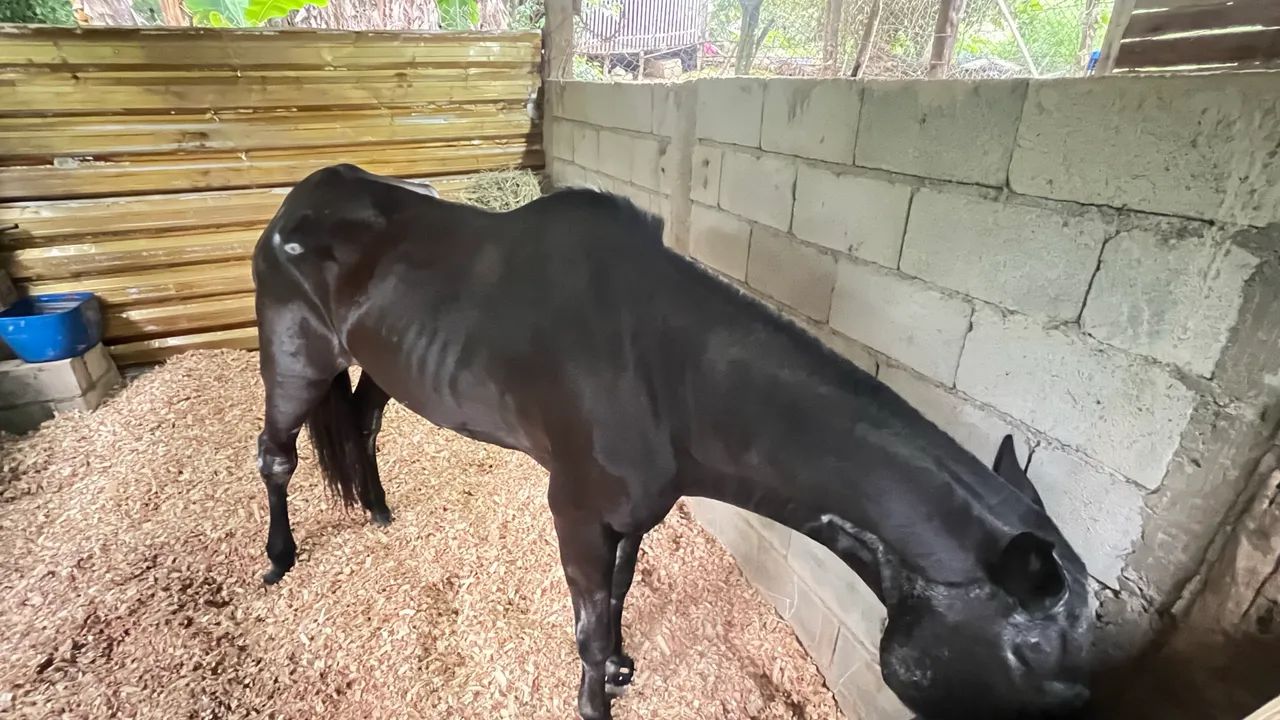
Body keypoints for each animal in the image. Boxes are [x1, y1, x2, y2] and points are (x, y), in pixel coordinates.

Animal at [251, 163, 1096, 720]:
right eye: (1032, 661)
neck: (665, 374)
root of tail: (303, 196)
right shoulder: (576, 511)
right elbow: (588, 627)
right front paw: (596, 698)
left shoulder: (635, 511)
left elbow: (621, 593)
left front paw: (626, 665)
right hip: (295, 359)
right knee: (277, 456)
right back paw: (279, 559)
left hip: (386, 365)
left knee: (363, 424)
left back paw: (378, 511)